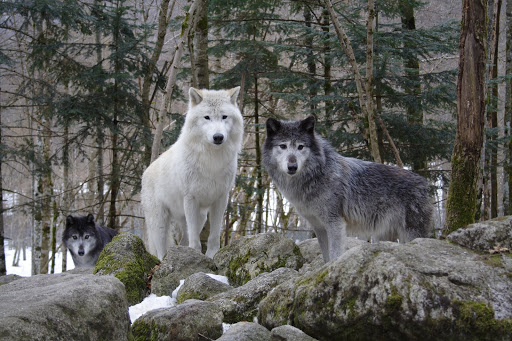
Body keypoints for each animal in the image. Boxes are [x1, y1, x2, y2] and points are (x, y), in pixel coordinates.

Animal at [141, 87, 243, 258]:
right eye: (207, 117)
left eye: (224, 117)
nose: (218, 137)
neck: (212, 160)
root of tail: (146, 172)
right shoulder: (190, 199)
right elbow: (195, 240)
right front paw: (196, 256)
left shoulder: (221, 199)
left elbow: (214, 236)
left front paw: (211, 256)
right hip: (160, 223)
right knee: (161, 250)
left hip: (199, 217)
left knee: (183, 241)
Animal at [262, 115, 434, 262]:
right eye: (283, 146)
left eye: (300, 147)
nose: (292, 166)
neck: (316, 175)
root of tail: (423, 182)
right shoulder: (319, 227)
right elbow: (326, 256)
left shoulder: (335, 223)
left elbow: (335, 254)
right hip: (383, 236)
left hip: (410, 233)